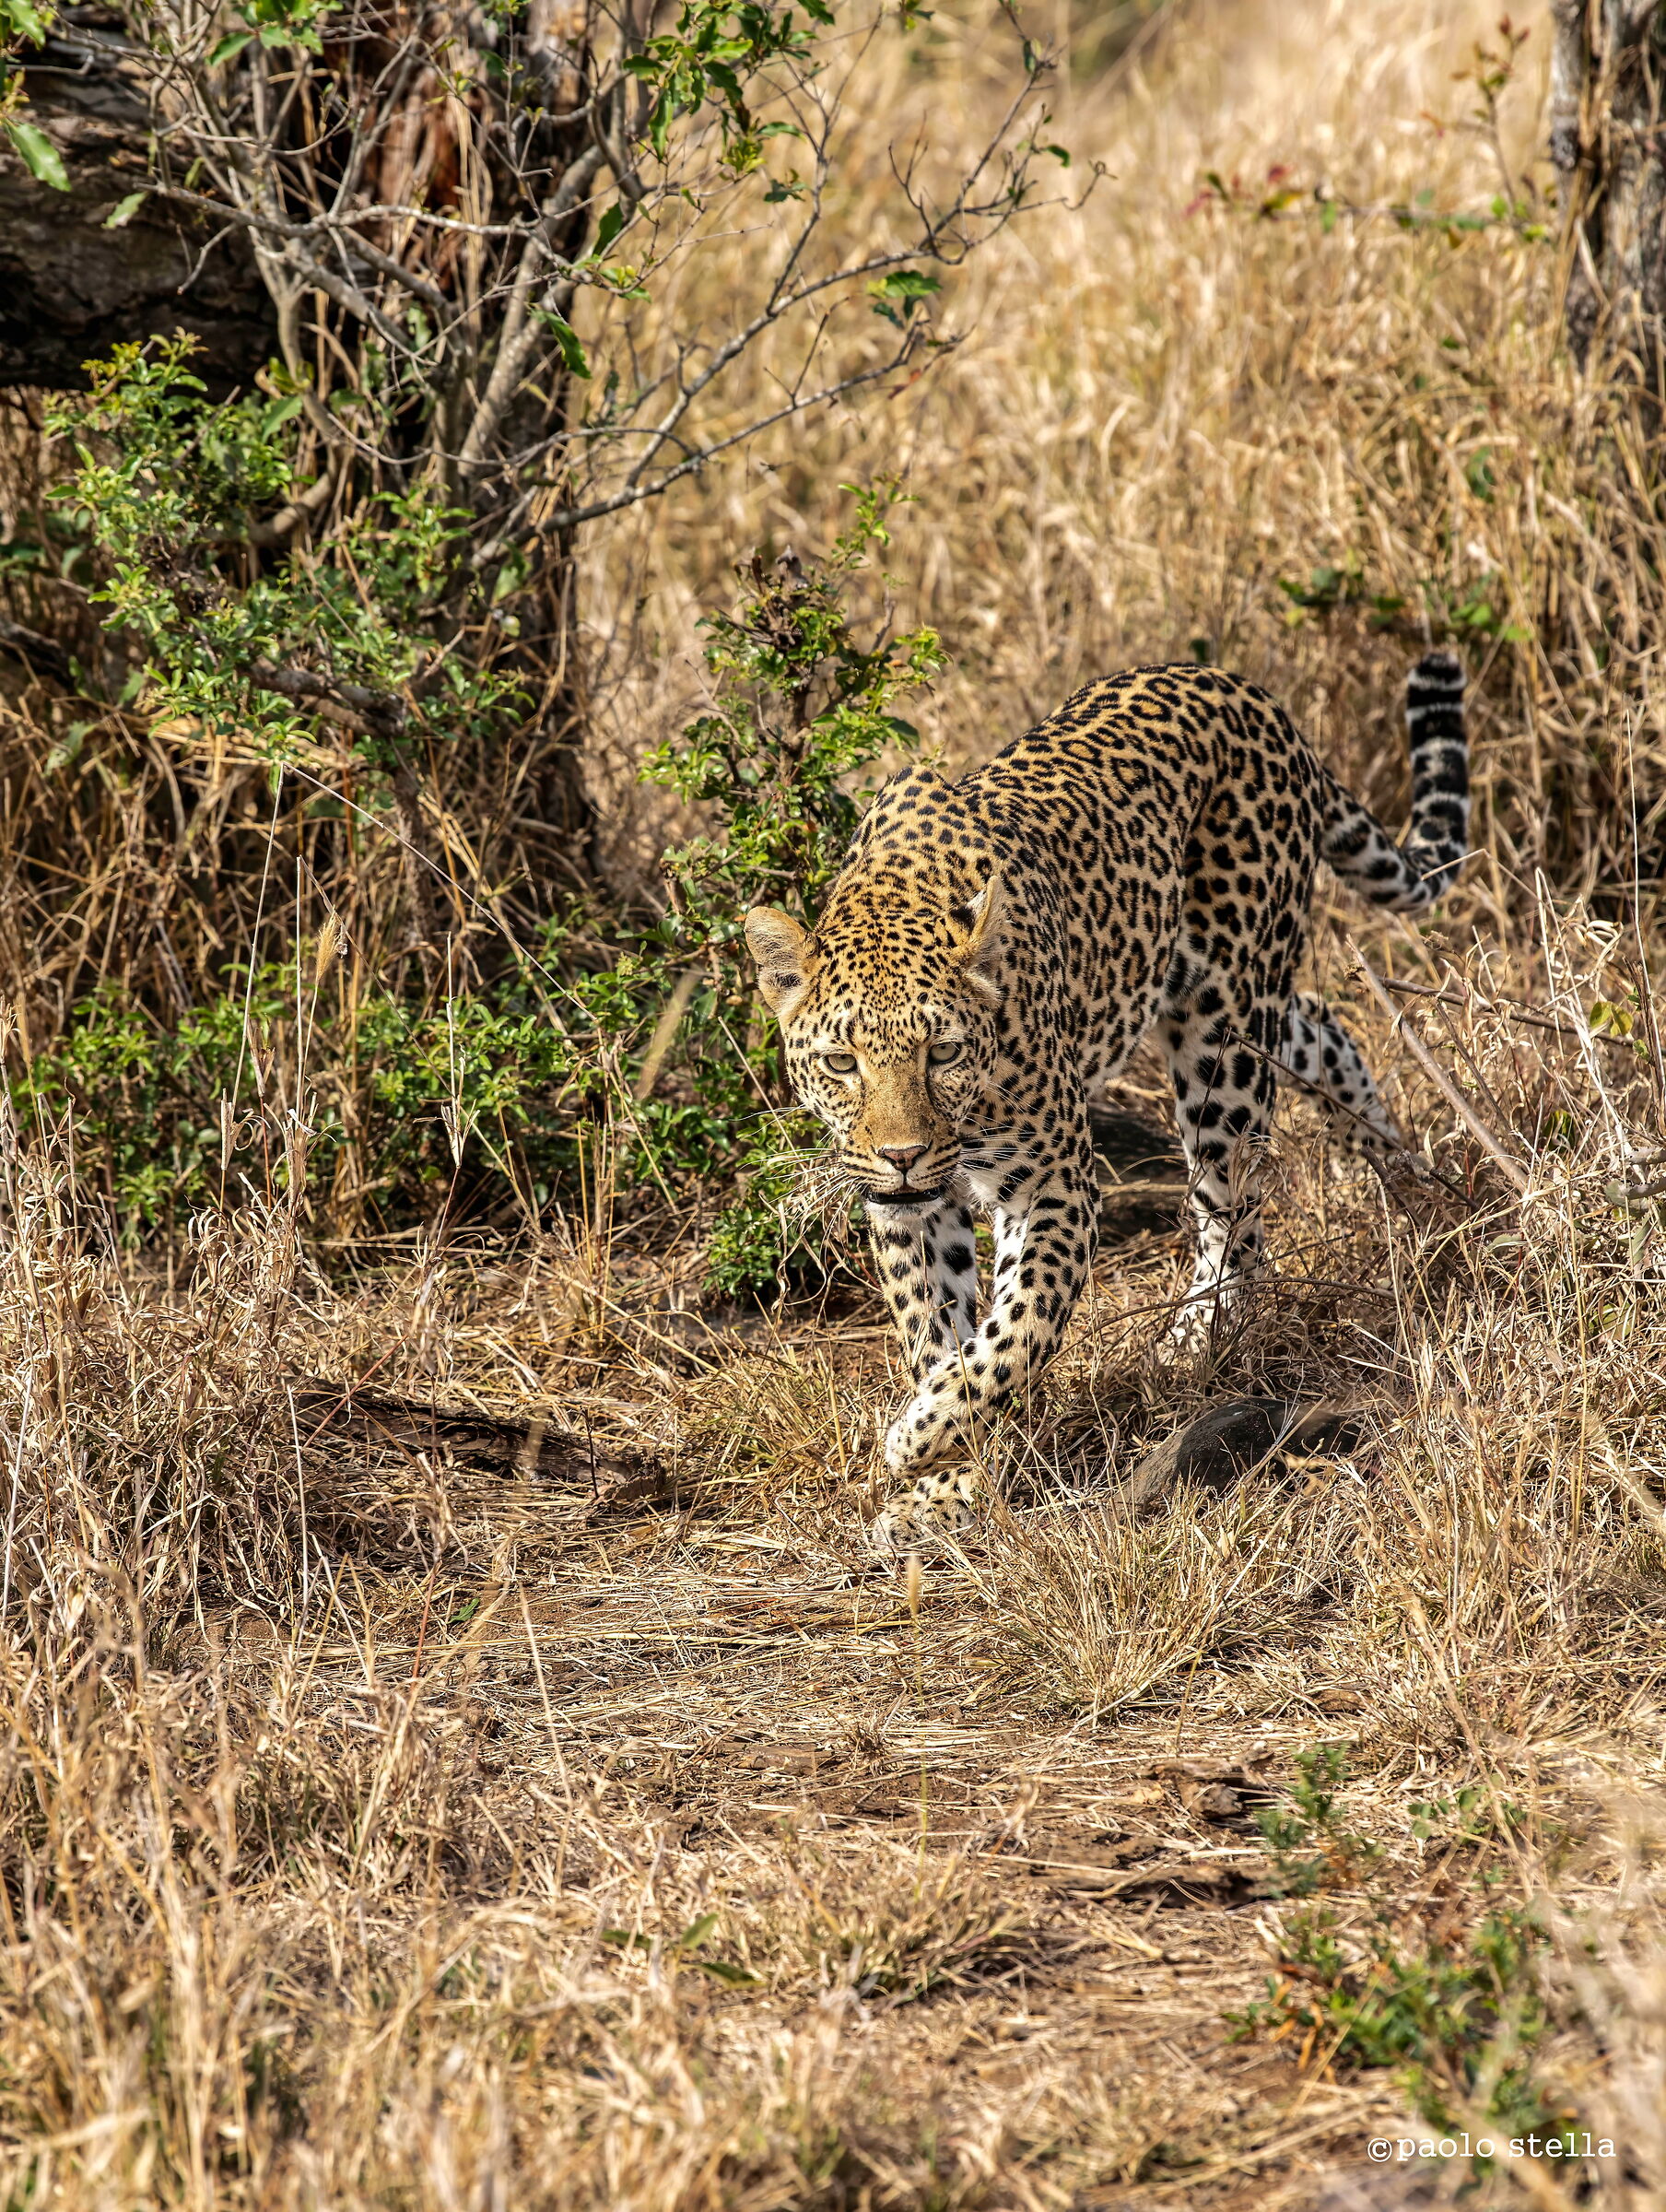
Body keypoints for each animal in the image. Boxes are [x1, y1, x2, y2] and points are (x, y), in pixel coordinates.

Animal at [743, 653, 1469, 1540]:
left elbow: (1015, 1332)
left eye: (942, 1052)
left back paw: (1200, 1336)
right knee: (1325, 1028)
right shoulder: (906, 1210)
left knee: (1232, 1211)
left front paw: (924, 1436)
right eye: (843, 1063)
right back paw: (1402, 1177)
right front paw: (942, 1480)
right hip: (1238, 1007)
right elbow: (937, 1329)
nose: (903, 1154)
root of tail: (1246, 692)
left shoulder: (1054, 1184)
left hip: (1222, 1030)